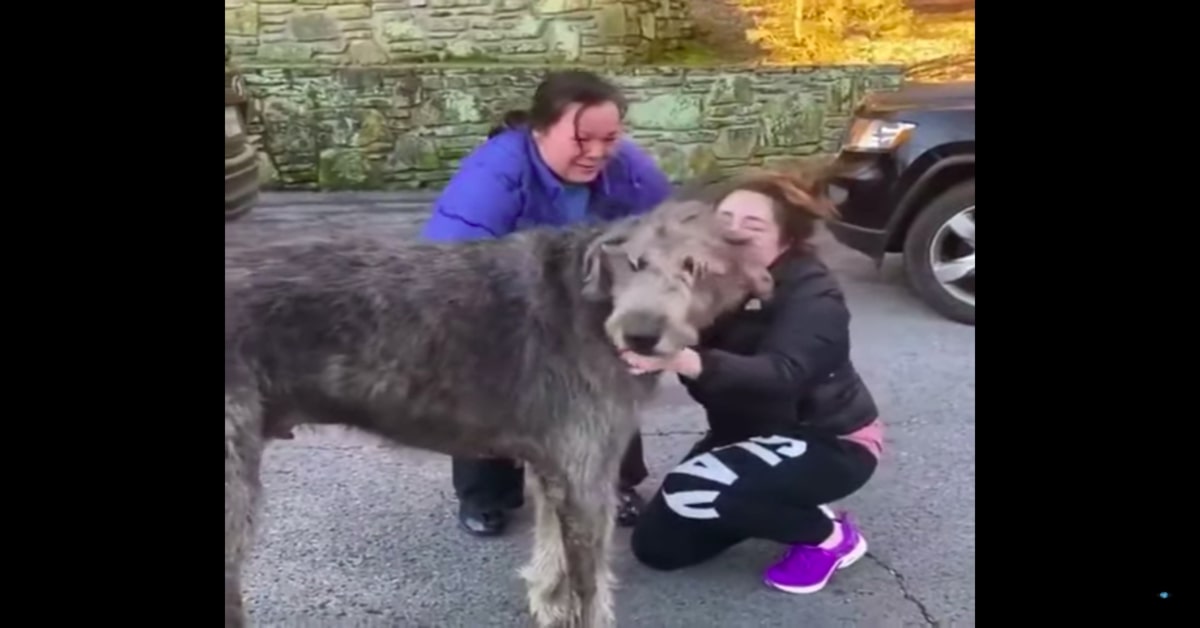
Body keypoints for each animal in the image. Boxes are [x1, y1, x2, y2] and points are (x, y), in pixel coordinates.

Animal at [225, 200, 777, 628]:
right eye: (635, 262)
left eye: (695, 268)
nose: (640, 336)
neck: (592, 305)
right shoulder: (584, 475)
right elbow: (588, 585)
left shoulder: (558, 463)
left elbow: (553, 546)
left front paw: (548, 603)